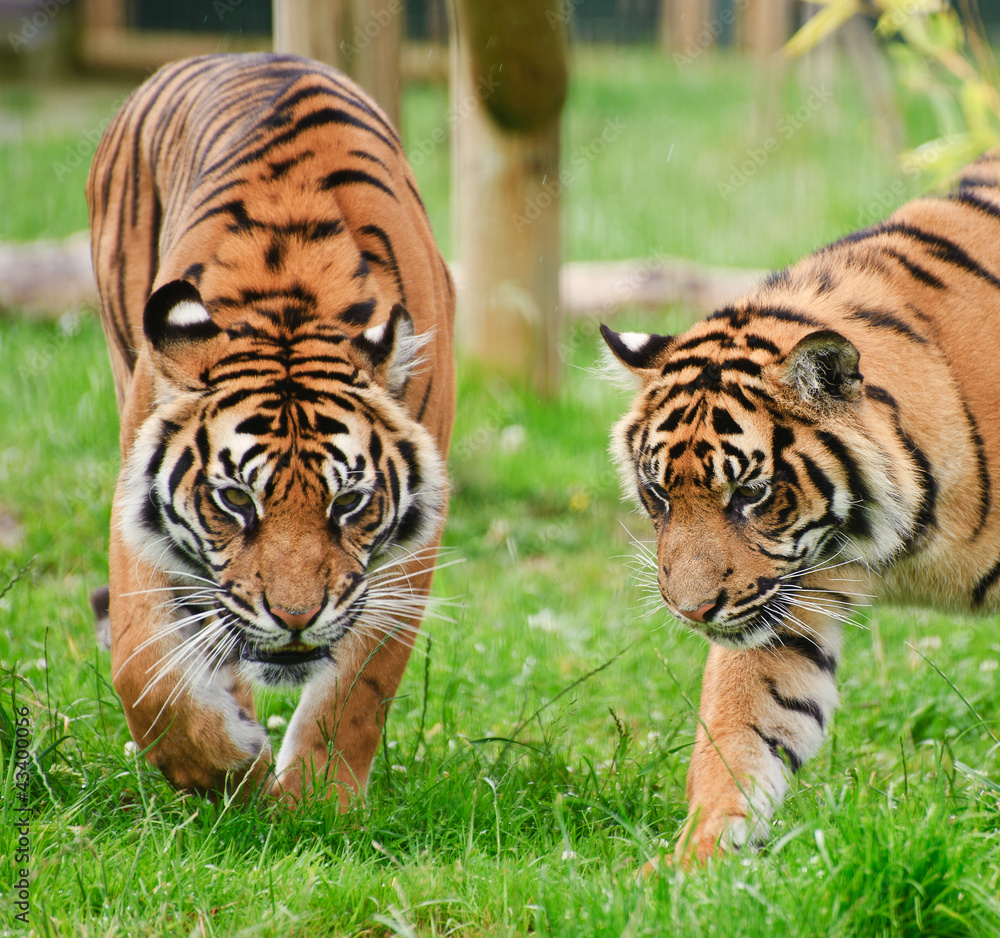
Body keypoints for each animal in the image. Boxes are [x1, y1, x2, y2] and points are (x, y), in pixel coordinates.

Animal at [86, 53, 454, 804]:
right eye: (235, 499)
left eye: (349, 502)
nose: (294, 619)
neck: (291, 300)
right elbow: (144, 667)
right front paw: (227, 770)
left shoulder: (405, 554)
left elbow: (359, 685)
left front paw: (318, 802)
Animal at [602, 150, 1000, 866]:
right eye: (658, 493)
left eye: (750, 494)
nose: (690, 611)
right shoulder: (788, 595)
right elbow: (742, 730)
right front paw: (692, 865)